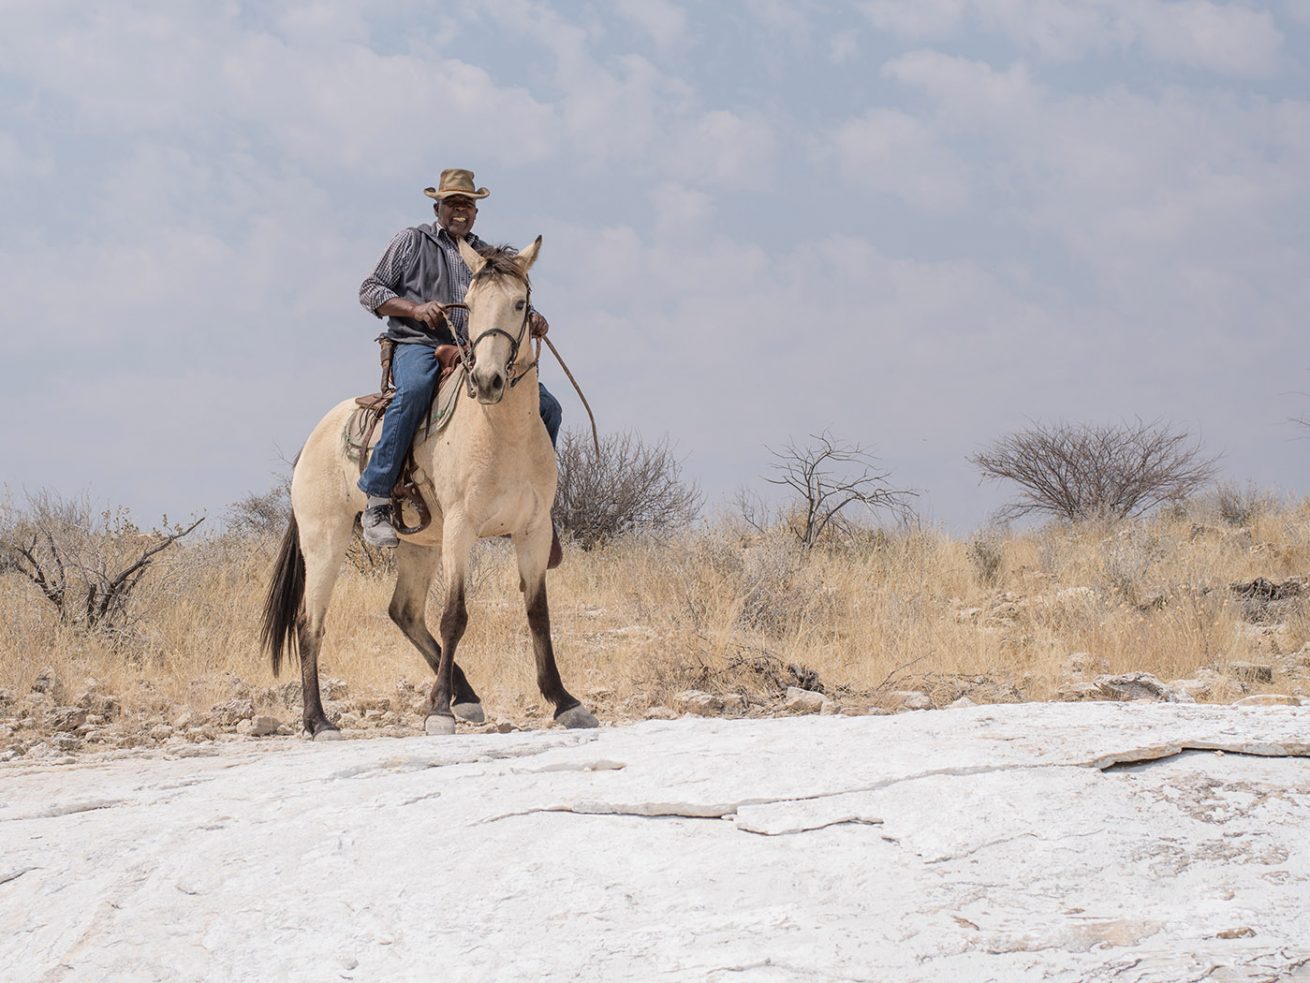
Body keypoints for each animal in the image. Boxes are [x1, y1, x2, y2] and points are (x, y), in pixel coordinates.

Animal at [261, 236, 598, 739]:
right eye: (470, 305)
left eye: (521, 304)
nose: (486, 381)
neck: (502, 432)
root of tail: (313, 440)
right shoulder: (461, 527)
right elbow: (455, 615)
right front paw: (438, 710)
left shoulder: (533, 531)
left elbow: (538, 614)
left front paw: (564, 701)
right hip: (325, 539)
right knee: (310, 623)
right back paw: (319, 720)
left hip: (418, 546)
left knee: (404, 612)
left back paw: (468, 696)